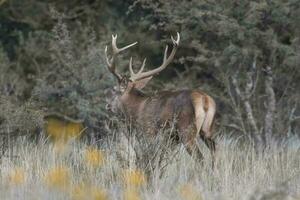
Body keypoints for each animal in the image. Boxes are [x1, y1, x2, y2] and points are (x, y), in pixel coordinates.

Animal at [105, 32, 216, 162]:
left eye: (114, 89)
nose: (107, 105)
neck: (136, 110)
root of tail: (205, 100)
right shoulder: (170, 139)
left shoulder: (149, 131)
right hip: (207, 130)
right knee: (214, 152)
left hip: (186, 130)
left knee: (200, 158)